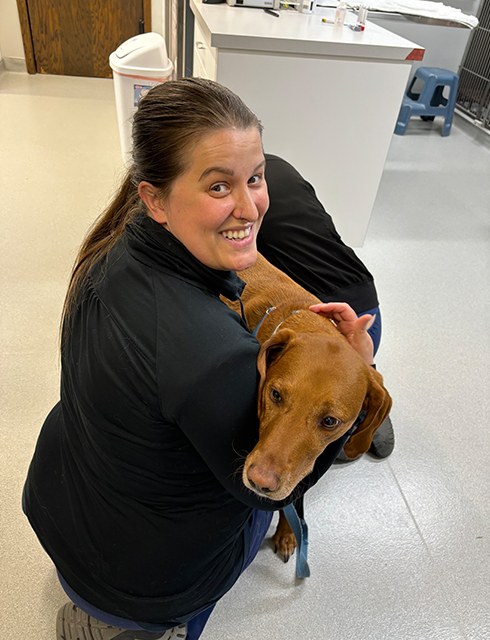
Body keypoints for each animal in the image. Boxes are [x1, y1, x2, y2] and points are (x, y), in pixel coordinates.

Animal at [225, 252, 390, 564]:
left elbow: (294, 497)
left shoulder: (302, 466)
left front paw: (287, 533)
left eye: (330, 422)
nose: (260, 482)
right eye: (275, 394)